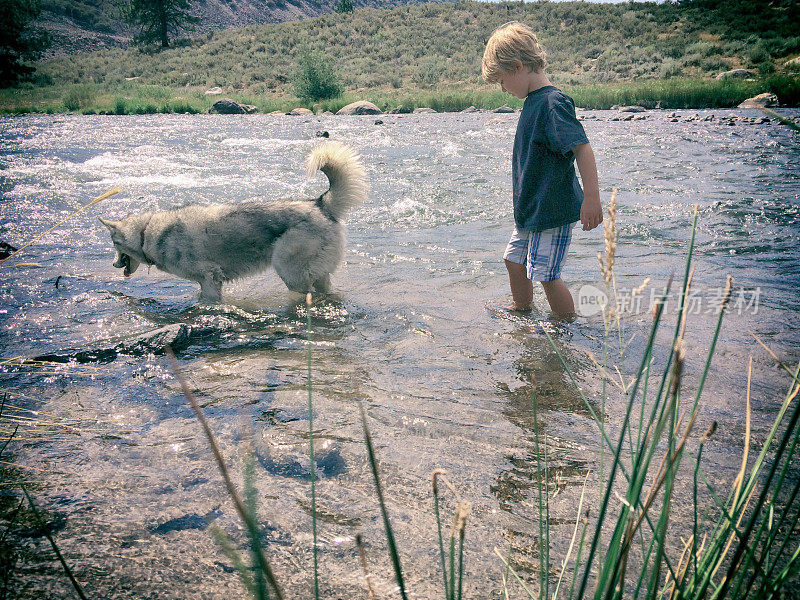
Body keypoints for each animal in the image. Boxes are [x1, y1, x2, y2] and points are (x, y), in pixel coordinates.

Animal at [97, 139, 368, 300]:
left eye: (114, 244)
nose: (114, 265)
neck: (147, 233)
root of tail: (320, 203)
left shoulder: (209, 279)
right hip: (318, 275)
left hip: (289, 272)